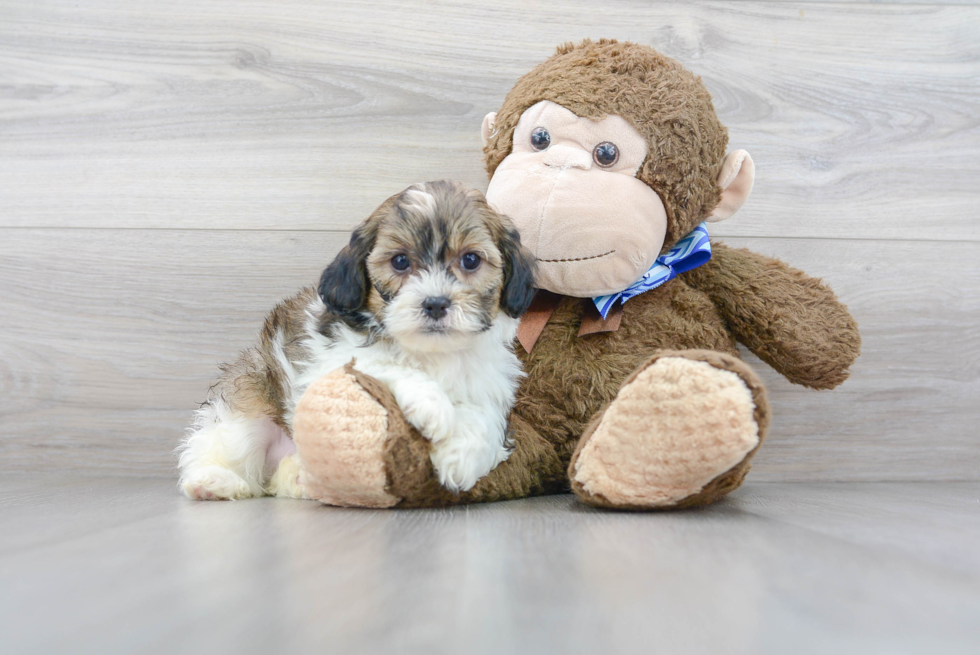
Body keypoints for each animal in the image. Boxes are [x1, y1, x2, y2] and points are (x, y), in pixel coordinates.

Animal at [180, 182, 540, 500]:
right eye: (400, 261)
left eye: (470, 260)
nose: (436, 303)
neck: (433, 353)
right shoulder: (329, 360)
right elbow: (382, 362)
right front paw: (432, 405)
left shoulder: (491, 381)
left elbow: (486, 417)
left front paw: (460, 458)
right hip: (252, 398)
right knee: (229, 445)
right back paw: (213, 481)